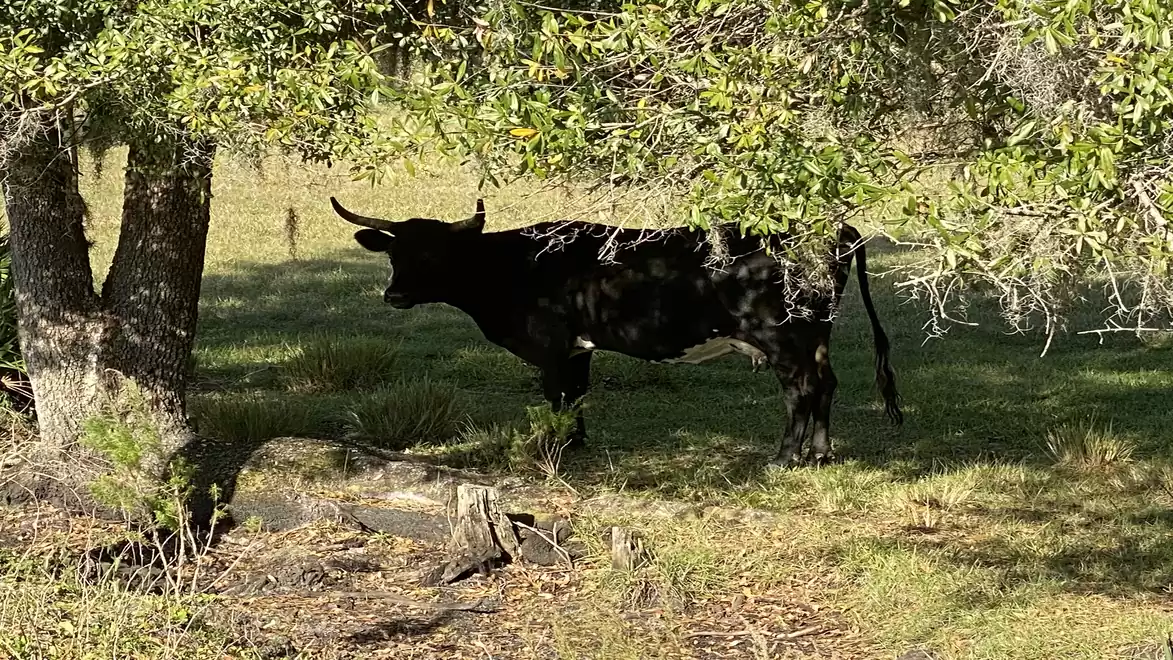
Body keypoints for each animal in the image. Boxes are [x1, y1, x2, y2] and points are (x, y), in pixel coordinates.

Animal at [331, 197, 902, 467]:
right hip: (817, 333)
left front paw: (554, 448)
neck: (515, 266)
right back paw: (821, 454)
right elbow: (576, 396)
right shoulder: (578, 349)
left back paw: (786, 458)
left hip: (781, 336)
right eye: (396, 254)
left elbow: (556, 396)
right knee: (825, 384)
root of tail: (835, 228)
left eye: (435, 254)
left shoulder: (551, 348)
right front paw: (576, 442)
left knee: (800, 389)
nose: (394, 296)